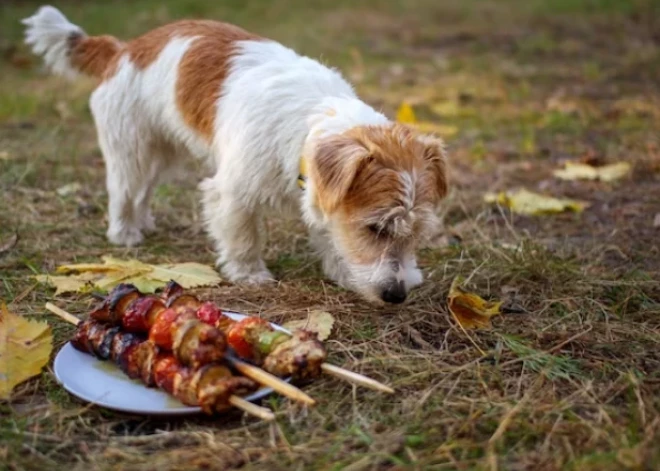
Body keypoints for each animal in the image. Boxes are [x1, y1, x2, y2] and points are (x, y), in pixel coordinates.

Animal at [24, 6, 448, 306]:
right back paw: (125, 232)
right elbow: (243, 235)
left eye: (417, 234)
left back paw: (143, 224)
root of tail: (124, 49)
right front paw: (249, 275)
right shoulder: (232, 192)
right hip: (132, 150)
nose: (397, 296)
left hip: (163, 154)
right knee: (124, 191)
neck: (312, 118)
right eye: (375, 229)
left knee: (143, 192)